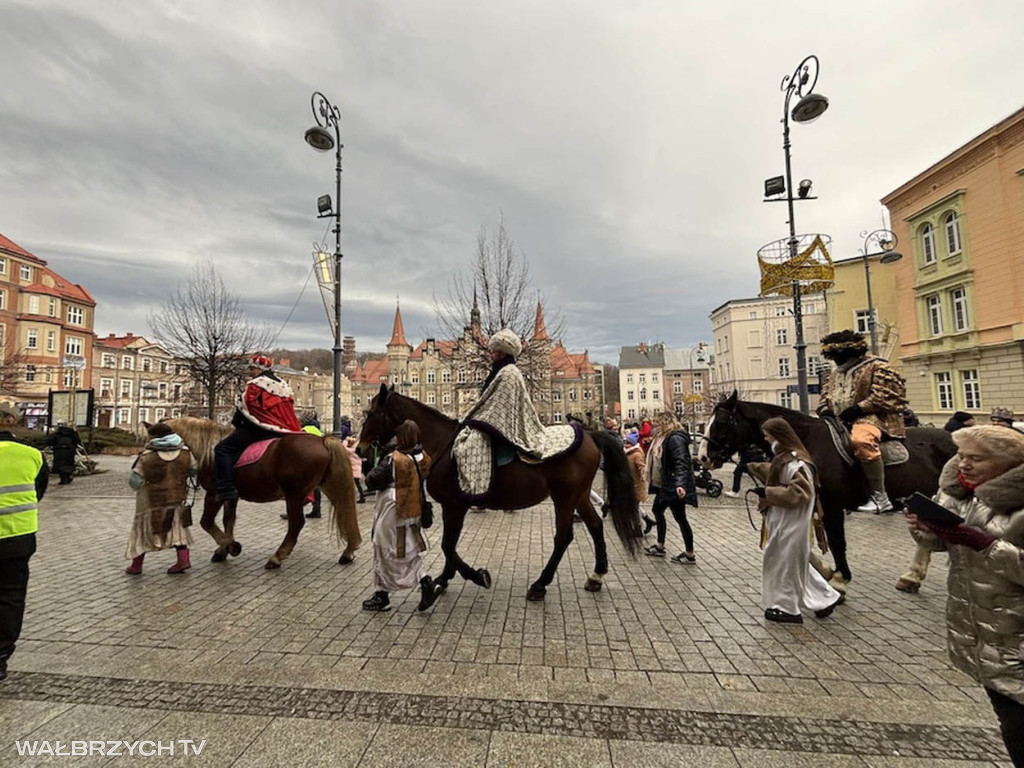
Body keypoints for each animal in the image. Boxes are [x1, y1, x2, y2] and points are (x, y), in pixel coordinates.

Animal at [162, 417, 360, 569]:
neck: (209, 449)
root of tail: (323, 440)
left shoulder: (214, 494)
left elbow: (207, 522)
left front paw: (231, 546)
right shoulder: (231, 495)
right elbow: (228, 521)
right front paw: (224, 549)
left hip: (294, 494)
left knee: (296, 524)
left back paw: (277, 557)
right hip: (327, 486)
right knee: (344, 511)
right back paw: (348, 551)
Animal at [356, 385, 634, 602]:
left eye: (371, 413)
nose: (359, 449)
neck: (442, 445)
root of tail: (590, 435)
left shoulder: (454, 505)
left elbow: (448, 545)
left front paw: (474, 576)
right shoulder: (451, 507)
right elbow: (449, 545)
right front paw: (444, 579)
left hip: (564, 498)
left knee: (563, 537)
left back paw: (540, 584)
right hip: (579, 495)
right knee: (596, 525)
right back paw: (596, 575)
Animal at [700, 391, 954, 581]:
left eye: (721, 422)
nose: (702, 457)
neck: (804, 440)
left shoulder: (831, 504)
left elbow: (836, 540)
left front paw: (840, 577)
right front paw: (824, 571)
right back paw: (914, 576)